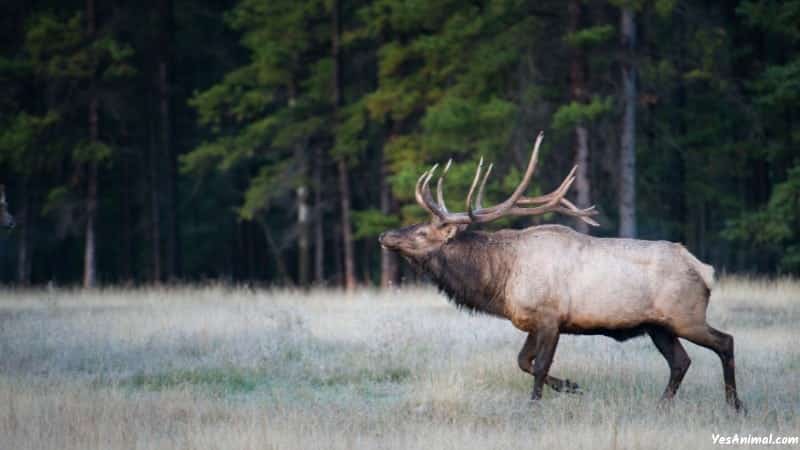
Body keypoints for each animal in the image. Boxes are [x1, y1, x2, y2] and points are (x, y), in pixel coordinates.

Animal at [380, 132, 744, 410]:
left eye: (421, 232)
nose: (385, 236)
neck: (500, 281)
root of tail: (704, 269)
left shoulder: (550, 317)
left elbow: (539, 365)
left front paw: (535, 403)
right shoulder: (531, 321)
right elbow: (523, 361)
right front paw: (570, 385)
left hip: (686, 315)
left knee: (724, 342)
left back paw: (734, 404)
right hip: (659, 326)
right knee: (681, 361)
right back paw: (662, 404)